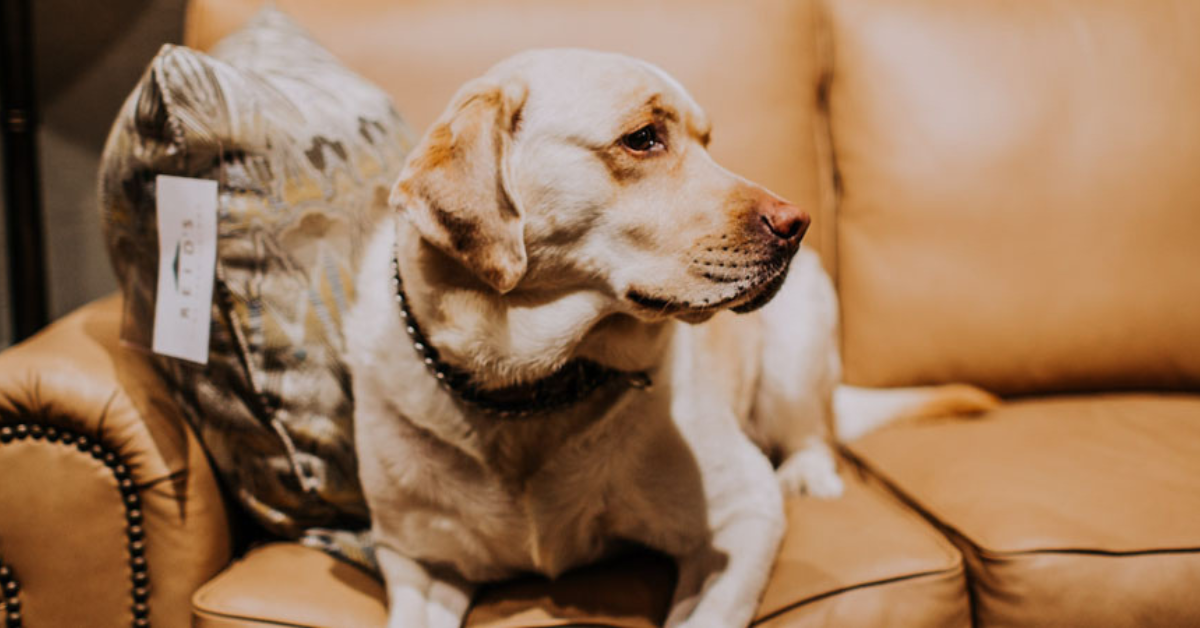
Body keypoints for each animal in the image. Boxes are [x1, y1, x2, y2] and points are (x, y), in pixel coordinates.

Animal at [345, 46, 993, 624]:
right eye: (643, 138)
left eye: (708, 141)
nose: (798, 224)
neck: (532, 393)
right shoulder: (417, 561)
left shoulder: (743, 516)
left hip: (796, 346)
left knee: (813, 433)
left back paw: (808, 474)